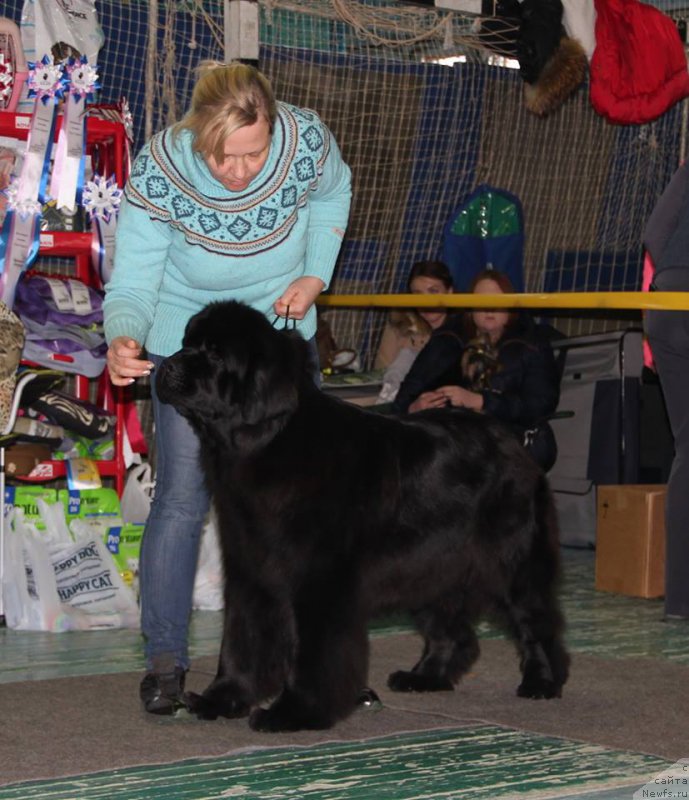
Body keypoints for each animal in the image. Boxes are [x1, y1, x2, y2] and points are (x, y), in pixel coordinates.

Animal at [157, 300, 568, 732]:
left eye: (217, 355)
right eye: (186, 342)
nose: (167, 367)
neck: (266, 441)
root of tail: (512, 440)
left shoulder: (319, 579)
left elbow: (311, 652)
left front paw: (295, 712)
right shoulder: (250, 571)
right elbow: (241, 640)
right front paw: (222, 699)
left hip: (511, 561)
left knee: (536, 623)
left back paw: (542, 682)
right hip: (431, 567)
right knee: (453, 632)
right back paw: (424, 677)